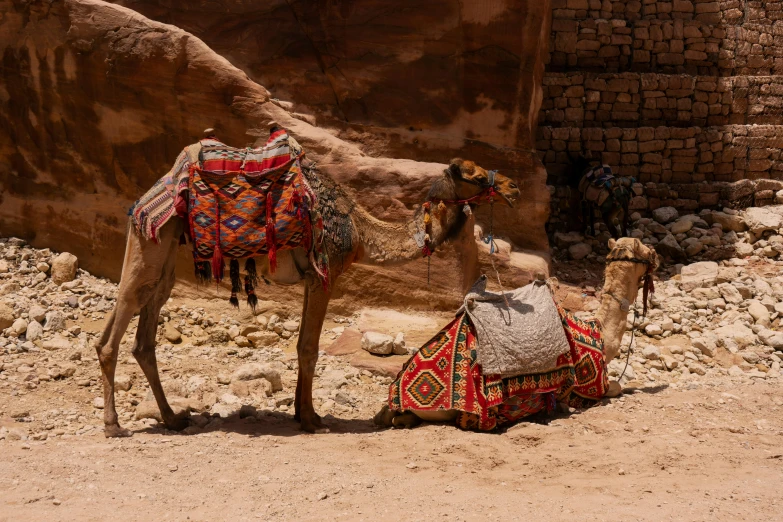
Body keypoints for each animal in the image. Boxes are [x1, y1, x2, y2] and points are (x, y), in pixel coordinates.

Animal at [95, 130, 520, 434]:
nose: (513, 186)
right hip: (151, 240)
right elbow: (310, 349)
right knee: (116, 327)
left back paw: (172, 418)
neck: (359, 231)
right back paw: (114, 425)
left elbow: (302, 345)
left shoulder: (312, 278)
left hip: (164, 251)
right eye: (476, 175)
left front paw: (302, 414)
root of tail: (150, 195)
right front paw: (314, 419)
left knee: (143, 333)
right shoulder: (325, 275)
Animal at [376, 238, 660, 428]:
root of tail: (396, 393)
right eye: (646, 249)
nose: (657, 256)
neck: (598, 333)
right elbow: (617, 387)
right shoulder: (591, 388)